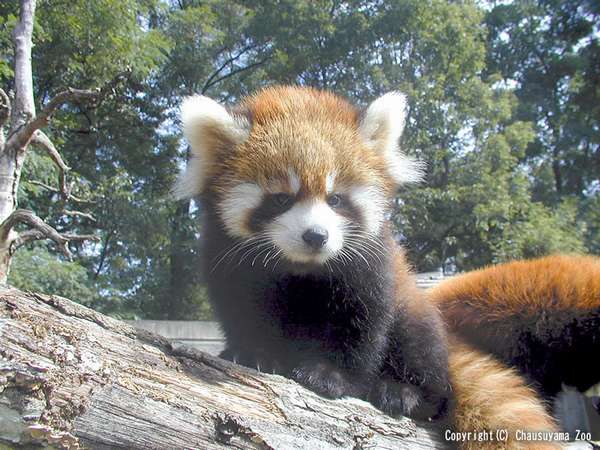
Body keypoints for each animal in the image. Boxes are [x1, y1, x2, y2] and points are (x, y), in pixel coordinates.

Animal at [176, 86, 560, 448]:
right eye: (282, 199)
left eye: (335, 199)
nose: (316, 236)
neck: (302, 270)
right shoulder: (227, 257)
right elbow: (240, 310)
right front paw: (254, 352)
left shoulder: (369, 263)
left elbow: (363, 323)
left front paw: (332, 374)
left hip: (417, 316)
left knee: (420, 348)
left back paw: (404, 392)